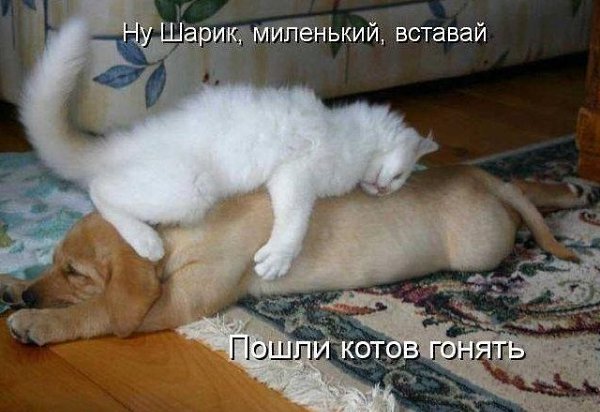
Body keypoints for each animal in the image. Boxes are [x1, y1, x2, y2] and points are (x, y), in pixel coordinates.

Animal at [1, 166, 595, 345]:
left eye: (76, 273)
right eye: (54, 261)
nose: (29, 298)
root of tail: (480, 178)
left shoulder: (174, 302)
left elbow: (102, 311)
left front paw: (37, 321)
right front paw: (15, 285)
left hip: (480, 247)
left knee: (513, 216)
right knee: (521, 185)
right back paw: (571, 190)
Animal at [21, 19, 439, 280]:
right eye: (400, 176)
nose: (384, 191)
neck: (352, 134)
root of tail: (125, 141)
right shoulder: (294, 175)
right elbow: (295, 222)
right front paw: (278, 259)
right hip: (189, 188)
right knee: (100, 189)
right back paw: (147, 241)